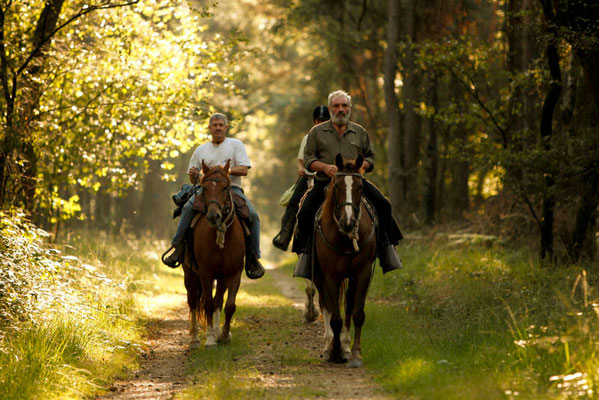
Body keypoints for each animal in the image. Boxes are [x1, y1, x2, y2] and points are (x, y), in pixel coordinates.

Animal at [184, 159, 247, 346]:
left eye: (225, 187)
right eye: (204, 188)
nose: (214, 216)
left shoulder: (234, 273)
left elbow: (229, 305)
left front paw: (224, 335)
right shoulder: (205, 273)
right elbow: (208, 304)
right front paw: (210, 339)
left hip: (221, 278)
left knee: (219, 300)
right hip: (189, 273)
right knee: (192, 300)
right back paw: (195, 338)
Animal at [314, 155, 376, 368]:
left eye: (360, 187)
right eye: (337, 186)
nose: (348, 222)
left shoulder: (363, 273)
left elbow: (357, 313)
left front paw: (355, 354)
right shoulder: (330, 276)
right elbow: (335, 318)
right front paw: (334, 351)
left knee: (348, 305)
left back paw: (346, 347)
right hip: (318, 277)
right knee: (324, 304)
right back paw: (327, 346)